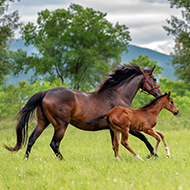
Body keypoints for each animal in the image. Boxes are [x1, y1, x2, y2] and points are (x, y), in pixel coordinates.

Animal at [4, 64, 162, 160]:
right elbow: (144, 138)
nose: (160, 94)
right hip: (60, 125)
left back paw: (25, 159)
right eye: (154, 78)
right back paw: (63, 160)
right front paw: (155, 155)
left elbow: (114, 145)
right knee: (54, 144)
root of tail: (46, 92)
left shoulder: (113, 129)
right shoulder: (127, 127)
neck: (119, 95)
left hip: (43, 122)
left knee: (31, 139)